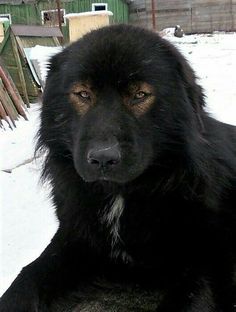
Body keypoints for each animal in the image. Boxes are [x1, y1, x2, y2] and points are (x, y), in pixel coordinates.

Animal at [0, 23, 236, 310]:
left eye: (139, 95)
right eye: (83, 94)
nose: (103, 158)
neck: (118, 196)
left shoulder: (206, 255)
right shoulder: (74, 238)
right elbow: (27, 278)